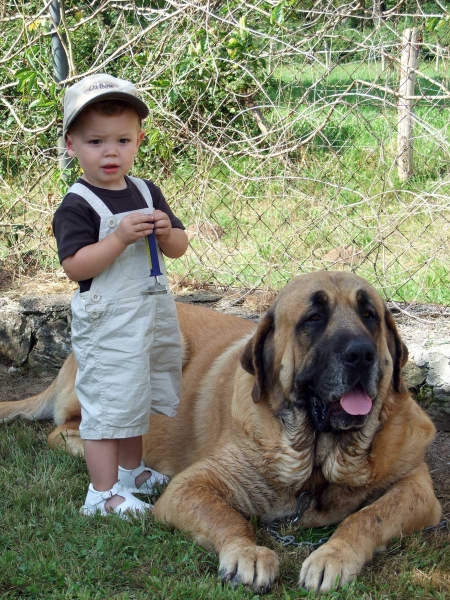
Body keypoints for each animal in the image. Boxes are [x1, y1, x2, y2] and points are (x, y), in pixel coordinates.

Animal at [0, 274, 442, 592]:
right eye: (313, 318)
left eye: (370, 315)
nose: (361, 353)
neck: (315, 458)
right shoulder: (191, 488)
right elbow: (228, 518)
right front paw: (247, 554)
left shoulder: (416, 488)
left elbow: (368, 517)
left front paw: (333, 556)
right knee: (67, 432)